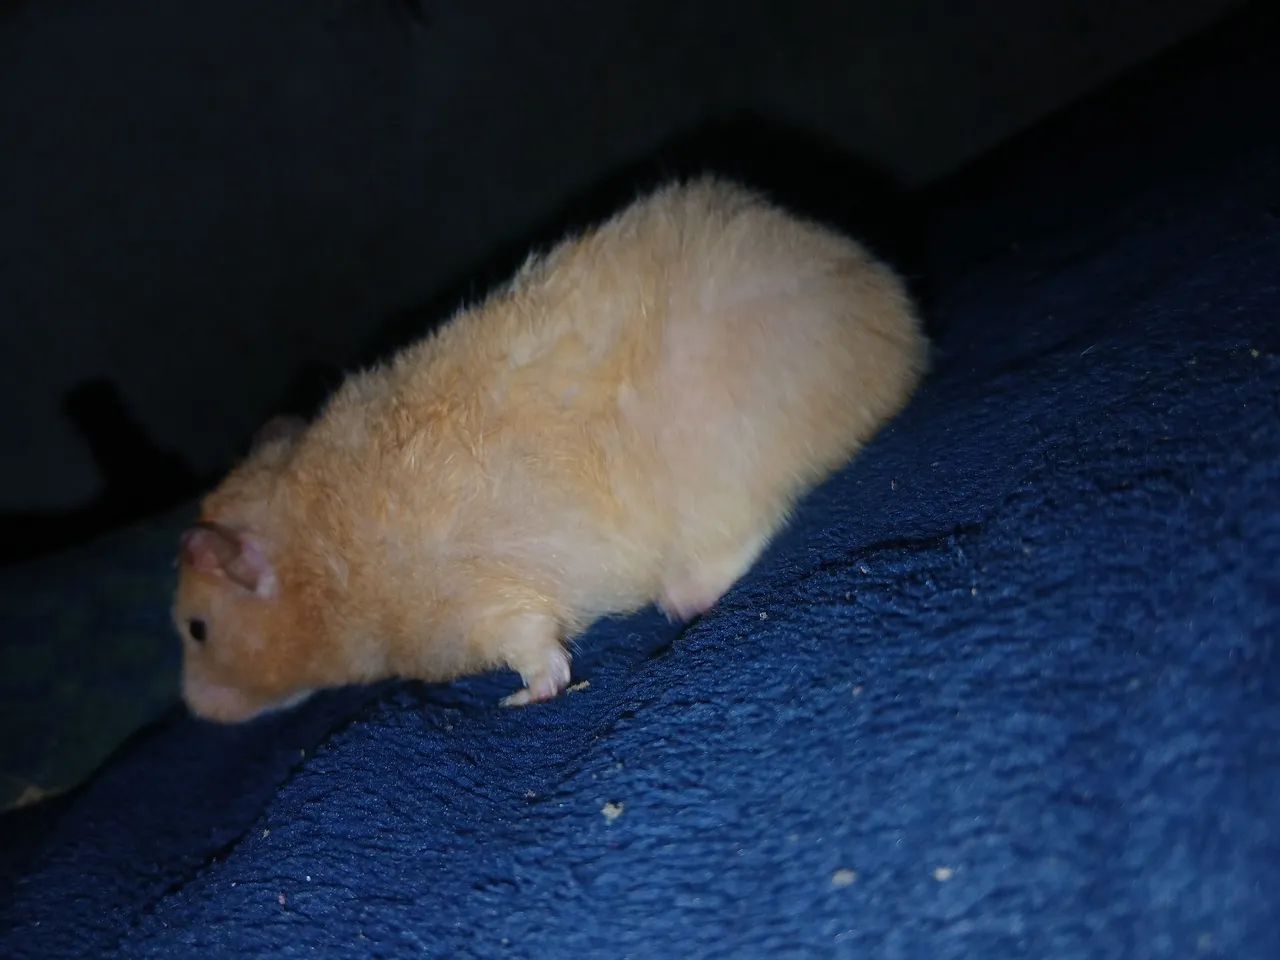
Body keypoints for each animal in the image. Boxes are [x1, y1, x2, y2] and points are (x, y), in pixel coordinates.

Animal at [172, 177, 928, 723]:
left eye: (197, 630)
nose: (197, 711)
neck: (321, 567)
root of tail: (891, 321)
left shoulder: (488, 610)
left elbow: (536, 651)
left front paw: (523, 697)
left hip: (717, 460)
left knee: (751, 526)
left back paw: (683, 599)